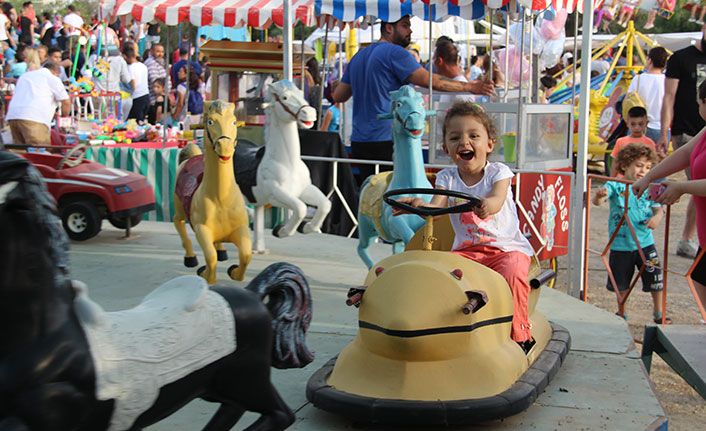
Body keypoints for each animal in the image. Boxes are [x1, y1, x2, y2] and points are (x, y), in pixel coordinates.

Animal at [232, 81, 328, 240]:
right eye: (284, 97)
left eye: (301, 93)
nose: (310, 113)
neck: (288, 164)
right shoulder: (275, 194)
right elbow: (301, 208)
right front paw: (281, 230)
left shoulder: (304, 189)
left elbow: (325, 204)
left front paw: (307, 227)